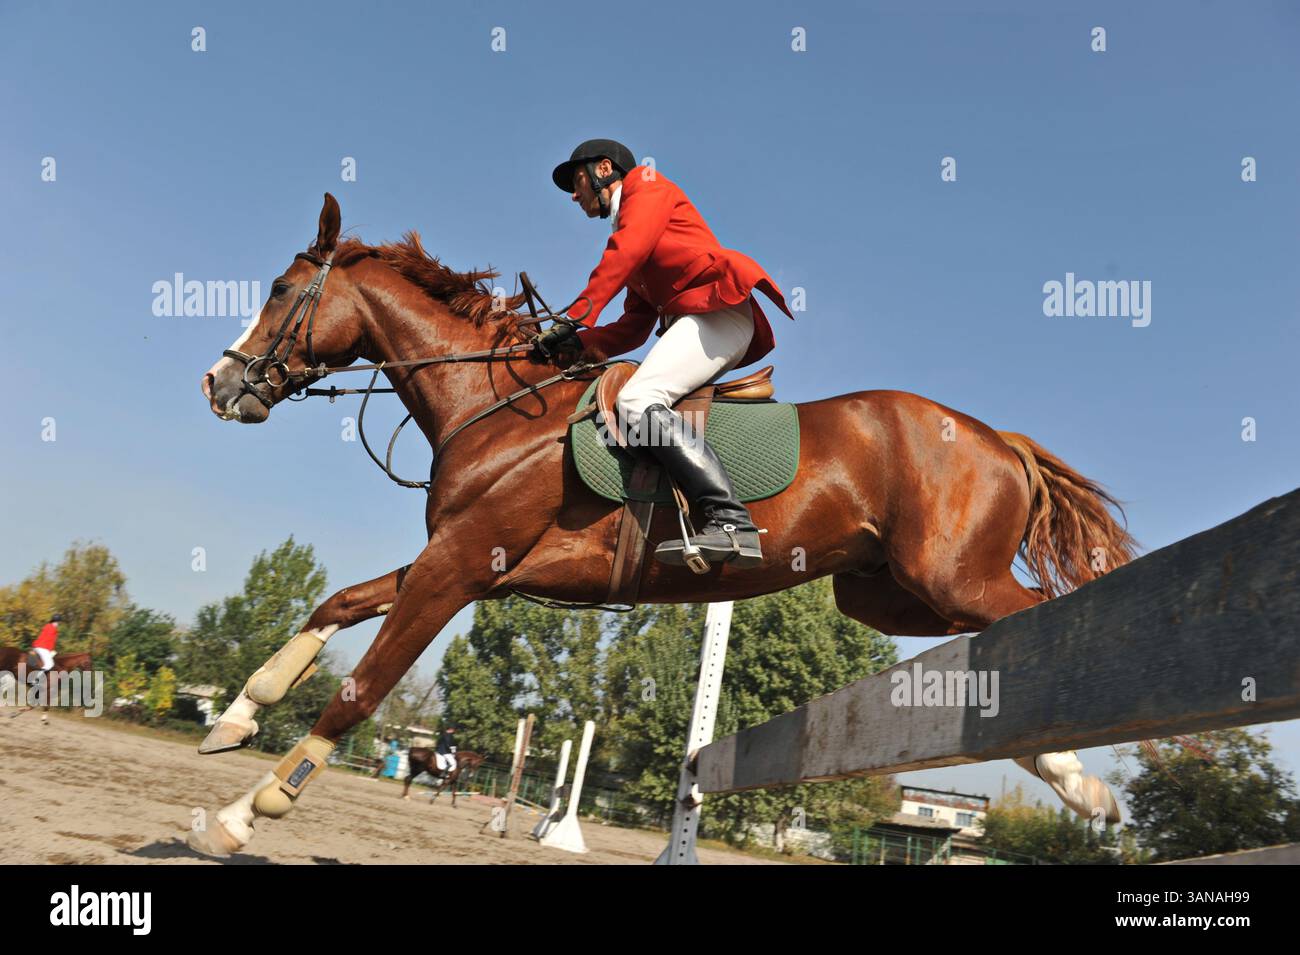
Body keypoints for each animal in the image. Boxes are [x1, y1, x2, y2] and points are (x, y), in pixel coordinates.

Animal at [188, 193, 1136, 857]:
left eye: (280, 292)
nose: (219, 384)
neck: (495, 409)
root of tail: (997, 439)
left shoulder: (456, 568)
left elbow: (361, 686)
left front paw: (242, 813)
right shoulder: (458, 562)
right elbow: (338, 605)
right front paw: (233, 718)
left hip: (949, 573)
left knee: (1036, 618)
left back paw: (1089, 773)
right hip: (888, 593)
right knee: (999, 635)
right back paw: (1071, 776)